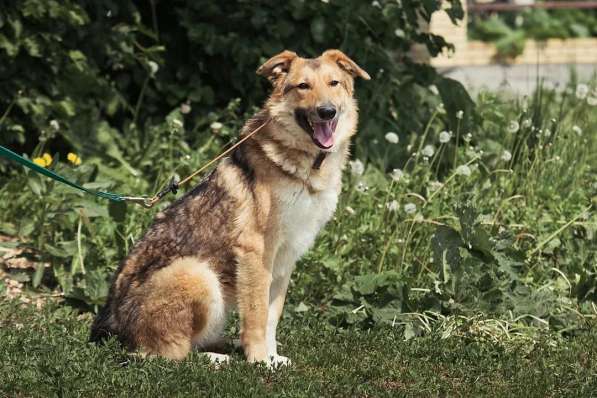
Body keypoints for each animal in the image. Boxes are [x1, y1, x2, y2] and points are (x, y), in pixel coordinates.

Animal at [89, 48, 368, 366]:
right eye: (303, 86)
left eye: (334, 83)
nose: (327, 111)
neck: (308, 168)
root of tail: (110, 328)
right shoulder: (256, 253)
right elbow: (257, 316)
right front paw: (259, 360)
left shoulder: (285, 260)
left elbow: (271, 317)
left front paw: (272, 357)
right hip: (197, 275)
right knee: (167, 354)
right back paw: (217, 359)